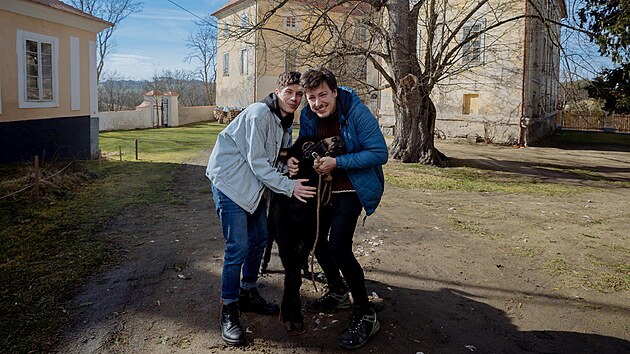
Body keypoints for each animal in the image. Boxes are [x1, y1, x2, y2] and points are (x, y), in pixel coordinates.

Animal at [266, 136, 346, 334]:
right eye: (307, 145)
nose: (337, 138)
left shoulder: (309, 237)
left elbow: (295, 272)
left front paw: (293, 315)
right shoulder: (285, 239)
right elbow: (291, 275)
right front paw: (290, 316)